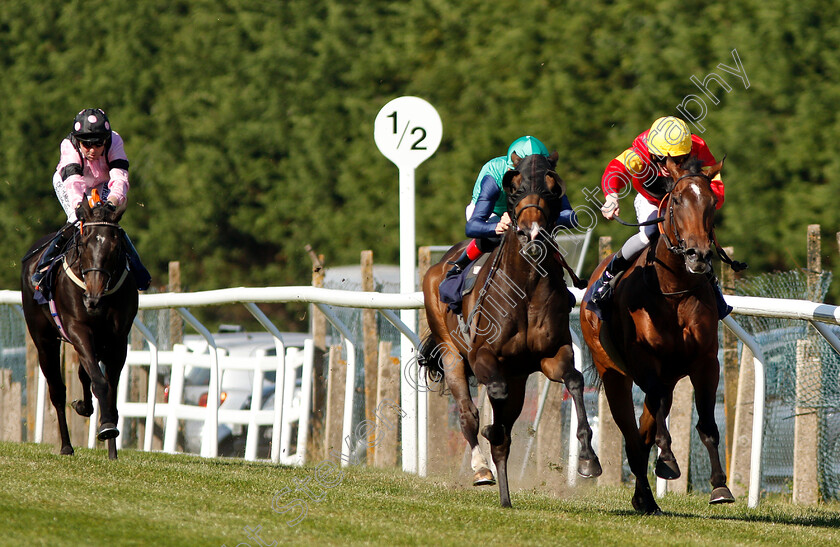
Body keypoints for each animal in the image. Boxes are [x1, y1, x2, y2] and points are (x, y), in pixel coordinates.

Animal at [20, 199, 139, 460]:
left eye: (116, 245)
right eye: (84, 243)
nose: (92, 298)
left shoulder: (117, 341)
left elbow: (106, 386)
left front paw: (112, 448)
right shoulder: (78, 329)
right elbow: (100, 382)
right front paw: (106, 427)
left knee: (84, 374)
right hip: (43, 340)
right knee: (57, 390)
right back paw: (66, 446)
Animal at [424, 152, 600, 508]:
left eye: (551, 189)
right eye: (515, 189)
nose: (531, 235)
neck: (525, 289)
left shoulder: (552, 354)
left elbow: (574, 380)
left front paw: (588, 459)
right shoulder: (482, 356)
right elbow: (495, 397)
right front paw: (492, 434)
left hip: (519, 375)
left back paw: (505, 496)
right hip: (451, 353)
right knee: (469, 413)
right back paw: (482, 469)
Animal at [580, 156, 732, 516]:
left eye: (711, 202)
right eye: (675, 201)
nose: (698, 255)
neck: (672, 289)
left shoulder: (706, 362)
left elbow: (707, 425)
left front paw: (720, 486)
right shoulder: (643, 362)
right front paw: (668, 459)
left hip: (669, 377)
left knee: (642, 432)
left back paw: (644, 498)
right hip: (613, 374)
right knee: (633, 433)